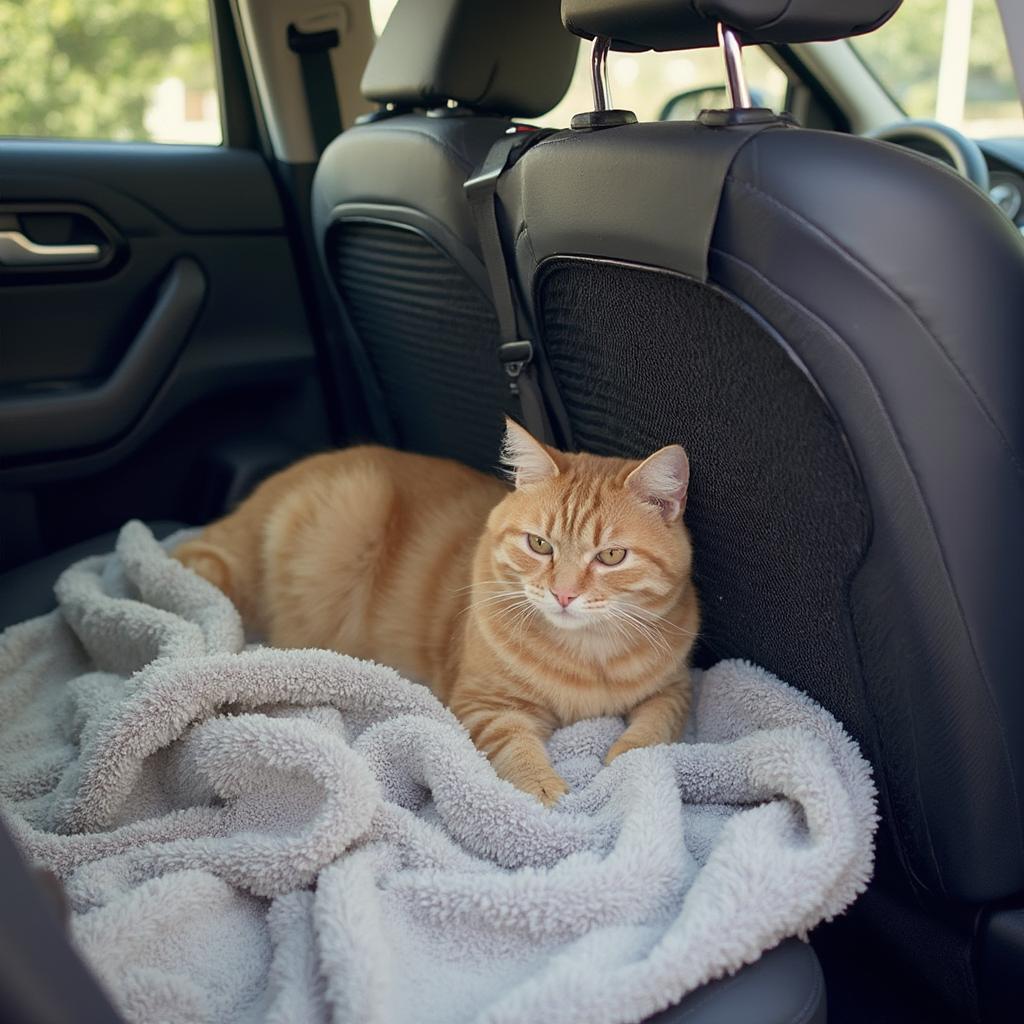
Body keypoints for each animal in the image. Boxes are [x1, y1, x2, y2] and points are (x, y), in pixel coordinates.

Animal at [178, 419, 704, 802]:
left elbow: (656, 725)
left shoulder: (677, 688)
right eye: (539, 545)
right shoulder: (484, 704)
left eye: (611, 556)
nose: (563, 594)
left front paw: (625, 757)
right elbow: (517, 747)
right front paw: (543, 787)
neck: (586, 655)